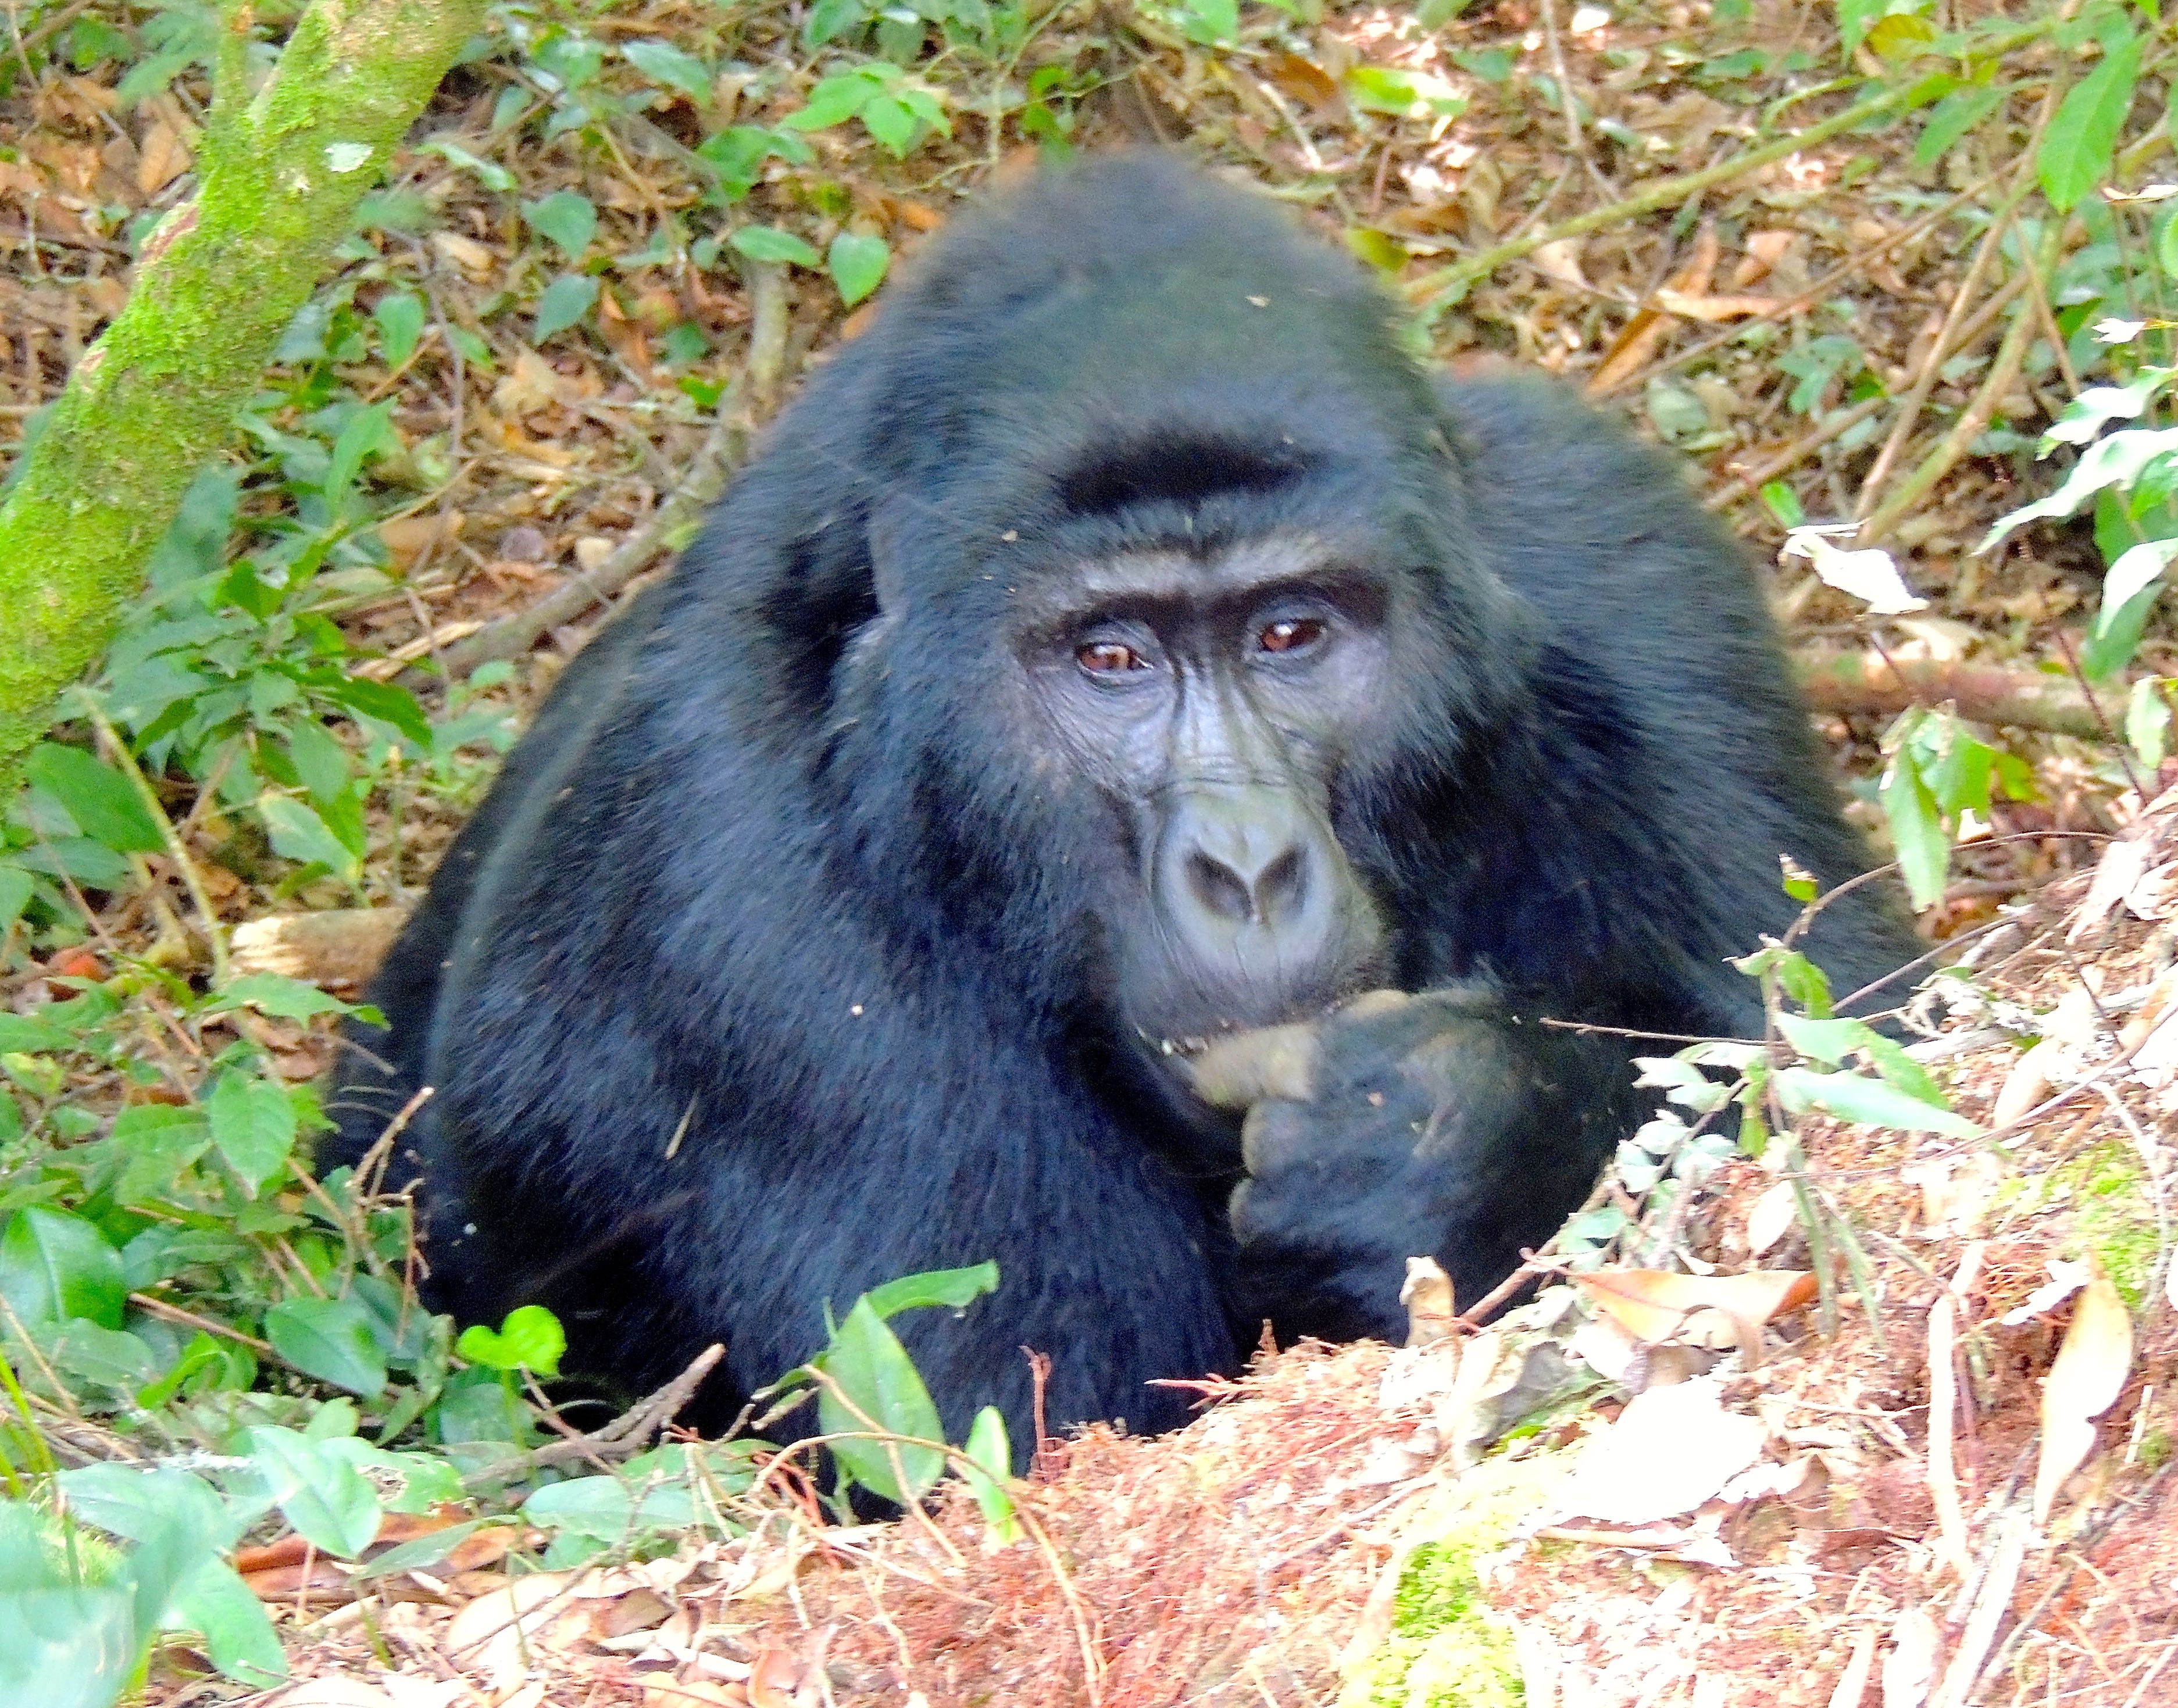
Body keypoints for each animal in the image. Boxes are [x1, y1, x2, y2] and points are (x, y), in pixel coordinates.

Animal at [322, 150, 1908, 1455]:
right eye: (1110, 659)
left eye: (1290, 633)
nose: (1249, 868)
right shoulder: (719, 892)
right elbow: (1034, 1439)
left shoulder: (1624, 565)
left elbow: (1853, 1043)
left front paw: (1462, 1126)